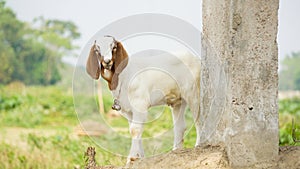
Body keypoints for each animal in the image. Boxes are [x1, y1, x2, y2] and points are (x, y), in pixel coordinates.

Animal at [85, 36, 200, 164]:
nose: (107, 61)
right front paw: (140, 157)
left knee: (199, 119)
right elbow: (133, 129)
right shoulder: (128, 110)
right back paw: (176, 150)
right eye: (97, 49)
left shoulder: (140, 105)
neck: (124, 77)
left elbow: (135, 129)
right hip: (178, 100)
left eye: (113, 47)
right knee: (180, 125)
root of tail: (195, 58)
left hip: (194, 93)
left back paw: (198, 145)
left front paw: (131, 159)